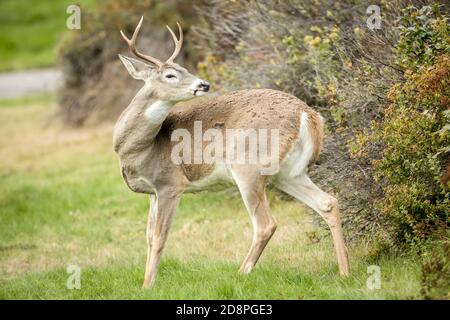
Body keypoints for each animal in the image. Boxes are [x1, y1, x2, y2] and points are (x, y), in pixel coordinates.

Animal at [113, 17, 352, 288]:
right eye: (171, 74)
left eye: (183, 68)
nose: (203, 84)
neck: (142, 148)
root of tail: (309, 115)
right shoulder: (153, 193)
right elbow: (148, 237)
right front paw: (146, 283)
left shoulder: (170, 184)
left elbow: (159, 237)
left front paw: (147, 286)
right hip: (289, 173)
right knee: (327, 202)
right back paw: (345, 271)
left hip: (248, 166)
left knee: (266, 224)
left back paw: (240, 273)